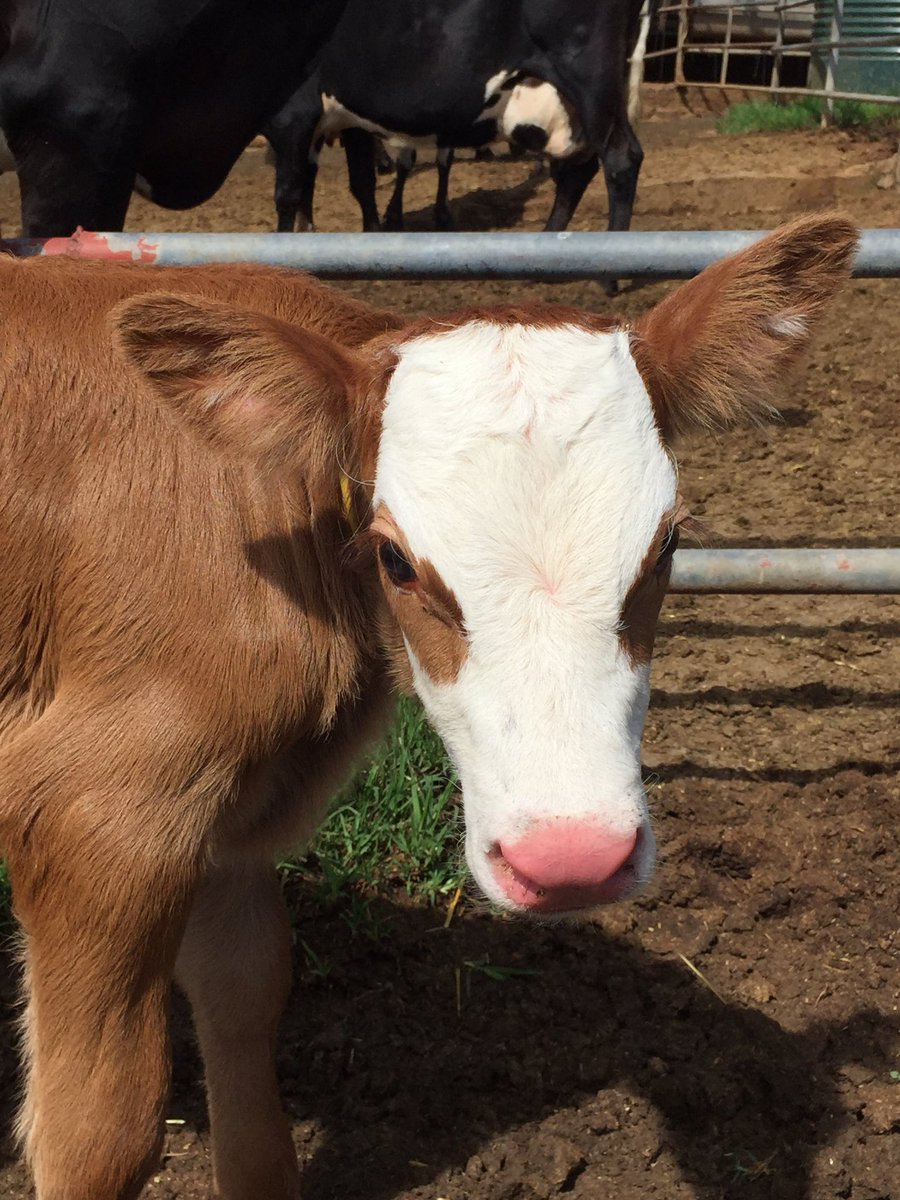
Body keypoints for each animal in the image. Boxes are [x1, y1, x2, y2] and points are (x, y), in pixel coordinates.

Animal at [0, 214, 856, 1200]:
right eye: (395, 560)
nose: (572, 860)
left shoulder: (223, 815)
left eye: (671, 542)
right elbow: (98, 1135)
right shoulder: (94, 810)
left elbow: (247, 1011)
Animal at [263, 0, 649, 244]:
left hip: (591, 82)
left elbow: (288, 193)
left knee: (620, 158)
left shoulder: (293, 115)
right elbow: (357, 182)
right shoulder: (347, 118)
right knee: (576, 168)